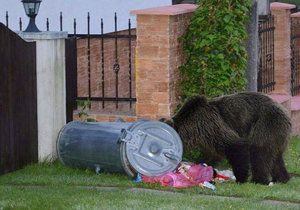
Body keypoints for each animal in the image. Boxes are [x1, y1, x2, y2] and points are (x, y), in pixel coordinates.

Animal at [163, 92, 292, 184]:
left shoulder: (210, 125)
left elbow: (234, 146)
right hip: (276, 133)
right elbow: (211, 156)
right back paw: (282, 178)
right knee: (275, 157)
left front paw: (240, 178)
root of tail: (285, 111)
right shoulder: (207, 138)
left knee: (259, 153)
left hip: (265, 123)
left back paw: (259, 180)